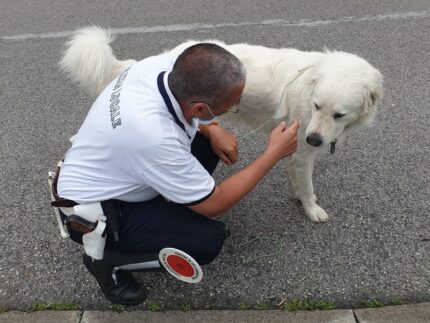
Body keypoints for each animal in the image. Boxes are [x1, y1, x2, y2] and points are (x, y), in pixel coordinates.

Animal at [59, 26, 382, 223]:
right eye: (317, 106)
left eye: (339, 114)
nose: (315, 139)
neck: (311, 82)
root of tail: (166, 56)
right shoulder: (303, 151)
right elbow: (307, 185)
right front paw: (312, 208)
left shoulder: (300, 151)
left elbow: (297, 179)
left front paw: (299, 197)